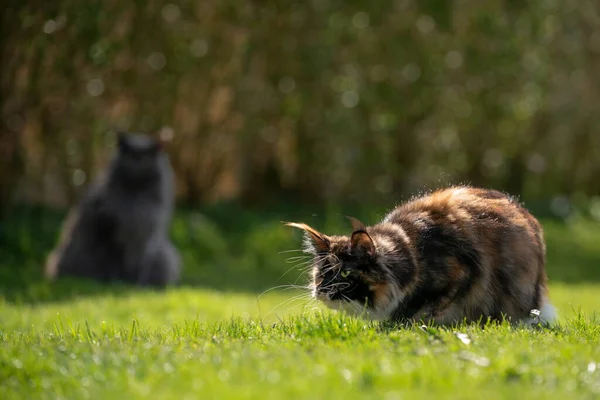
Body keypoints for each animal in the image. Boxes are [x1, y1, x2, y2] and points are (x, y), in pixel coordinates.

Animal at [45, 133, 180, 286]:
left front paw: (137, 283)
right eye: (129, 157)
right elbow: (115, 261)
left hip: (163, 255)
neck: (135, 200)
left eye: (144, 160)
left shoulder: (147, 237)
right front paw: (117, 282)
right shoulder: (110, 231)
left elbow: (141, 265)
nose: (136, 166)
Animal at [286, 186, 556, 326]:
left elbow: (424, 307)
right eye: (322, 274)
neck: (413, 255)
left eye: (345, 273)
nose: (322, 290)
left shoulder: (460, 274)